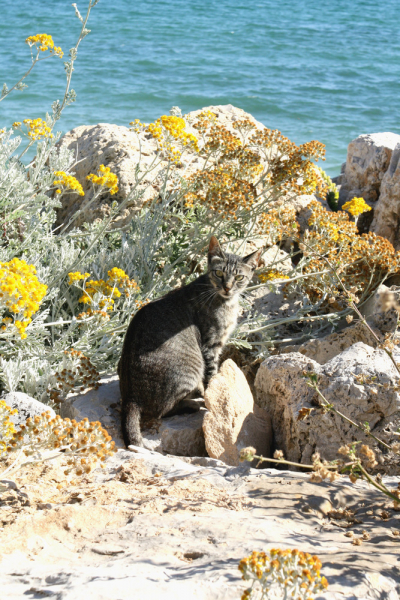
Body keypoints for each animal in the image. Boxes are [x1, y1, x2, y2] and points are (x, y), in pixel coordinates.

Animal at [118, 237, 262, 448]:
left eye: (239, 277)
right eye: (219, 273)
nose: (227, 287)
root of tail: (131, 398)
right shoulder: (210, 345)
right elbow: (212, 376)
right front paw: (213, 394)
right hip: (190, 368)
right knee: (162, 411)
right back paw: (193, 403)